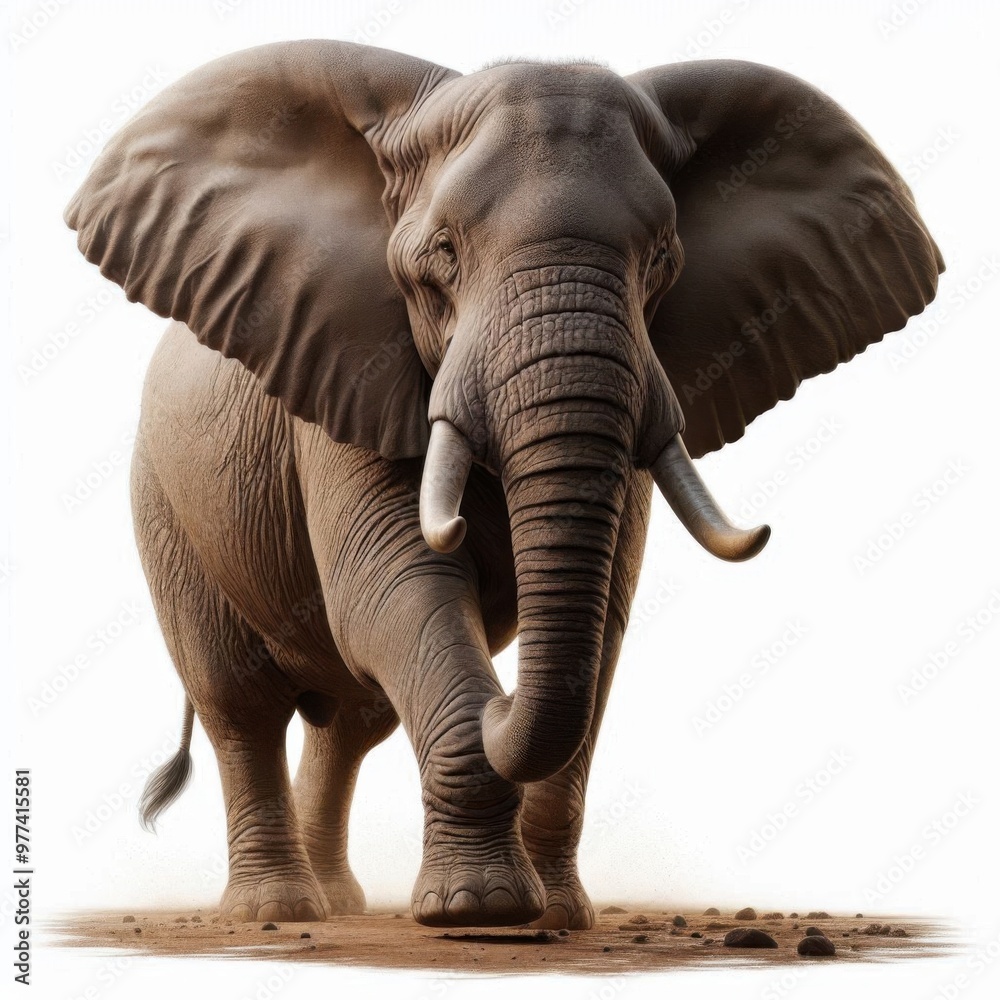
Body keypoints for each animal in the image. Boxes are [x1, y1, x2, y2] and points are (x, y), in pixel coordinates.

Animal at [64, 41, 942, 929]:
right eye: (443, 255)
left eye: (662, 258)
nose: (500, 702)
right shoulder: (346, 372)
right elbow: (395, 585)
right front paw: (475, 911)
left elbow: (602, 618)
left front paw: (552, 919)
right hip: (164, 505)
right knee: (241, 705)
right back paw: (278, 910)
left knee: (351, 721)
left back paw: (340, 902)